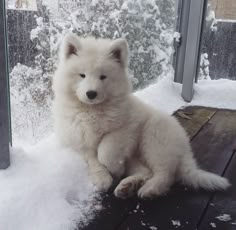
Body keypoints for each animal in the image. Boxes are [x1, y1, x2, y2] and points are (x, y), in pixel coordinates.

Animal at [52, 33, 230, 199]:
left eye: (103, 77)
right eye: (82, 75)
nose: (91, 94)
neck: (92, 110)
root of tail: (185, 149)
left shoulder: (127, 127)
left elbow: (106, 150)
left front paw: (114, 168)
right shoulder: (78, 137)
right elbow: (92, 157)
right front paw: (102, 178)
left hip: (154, 139)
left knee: (165, 173)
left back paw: (149, 189)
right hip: (141, 154)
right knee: (147, 171)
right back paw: (128, 186)